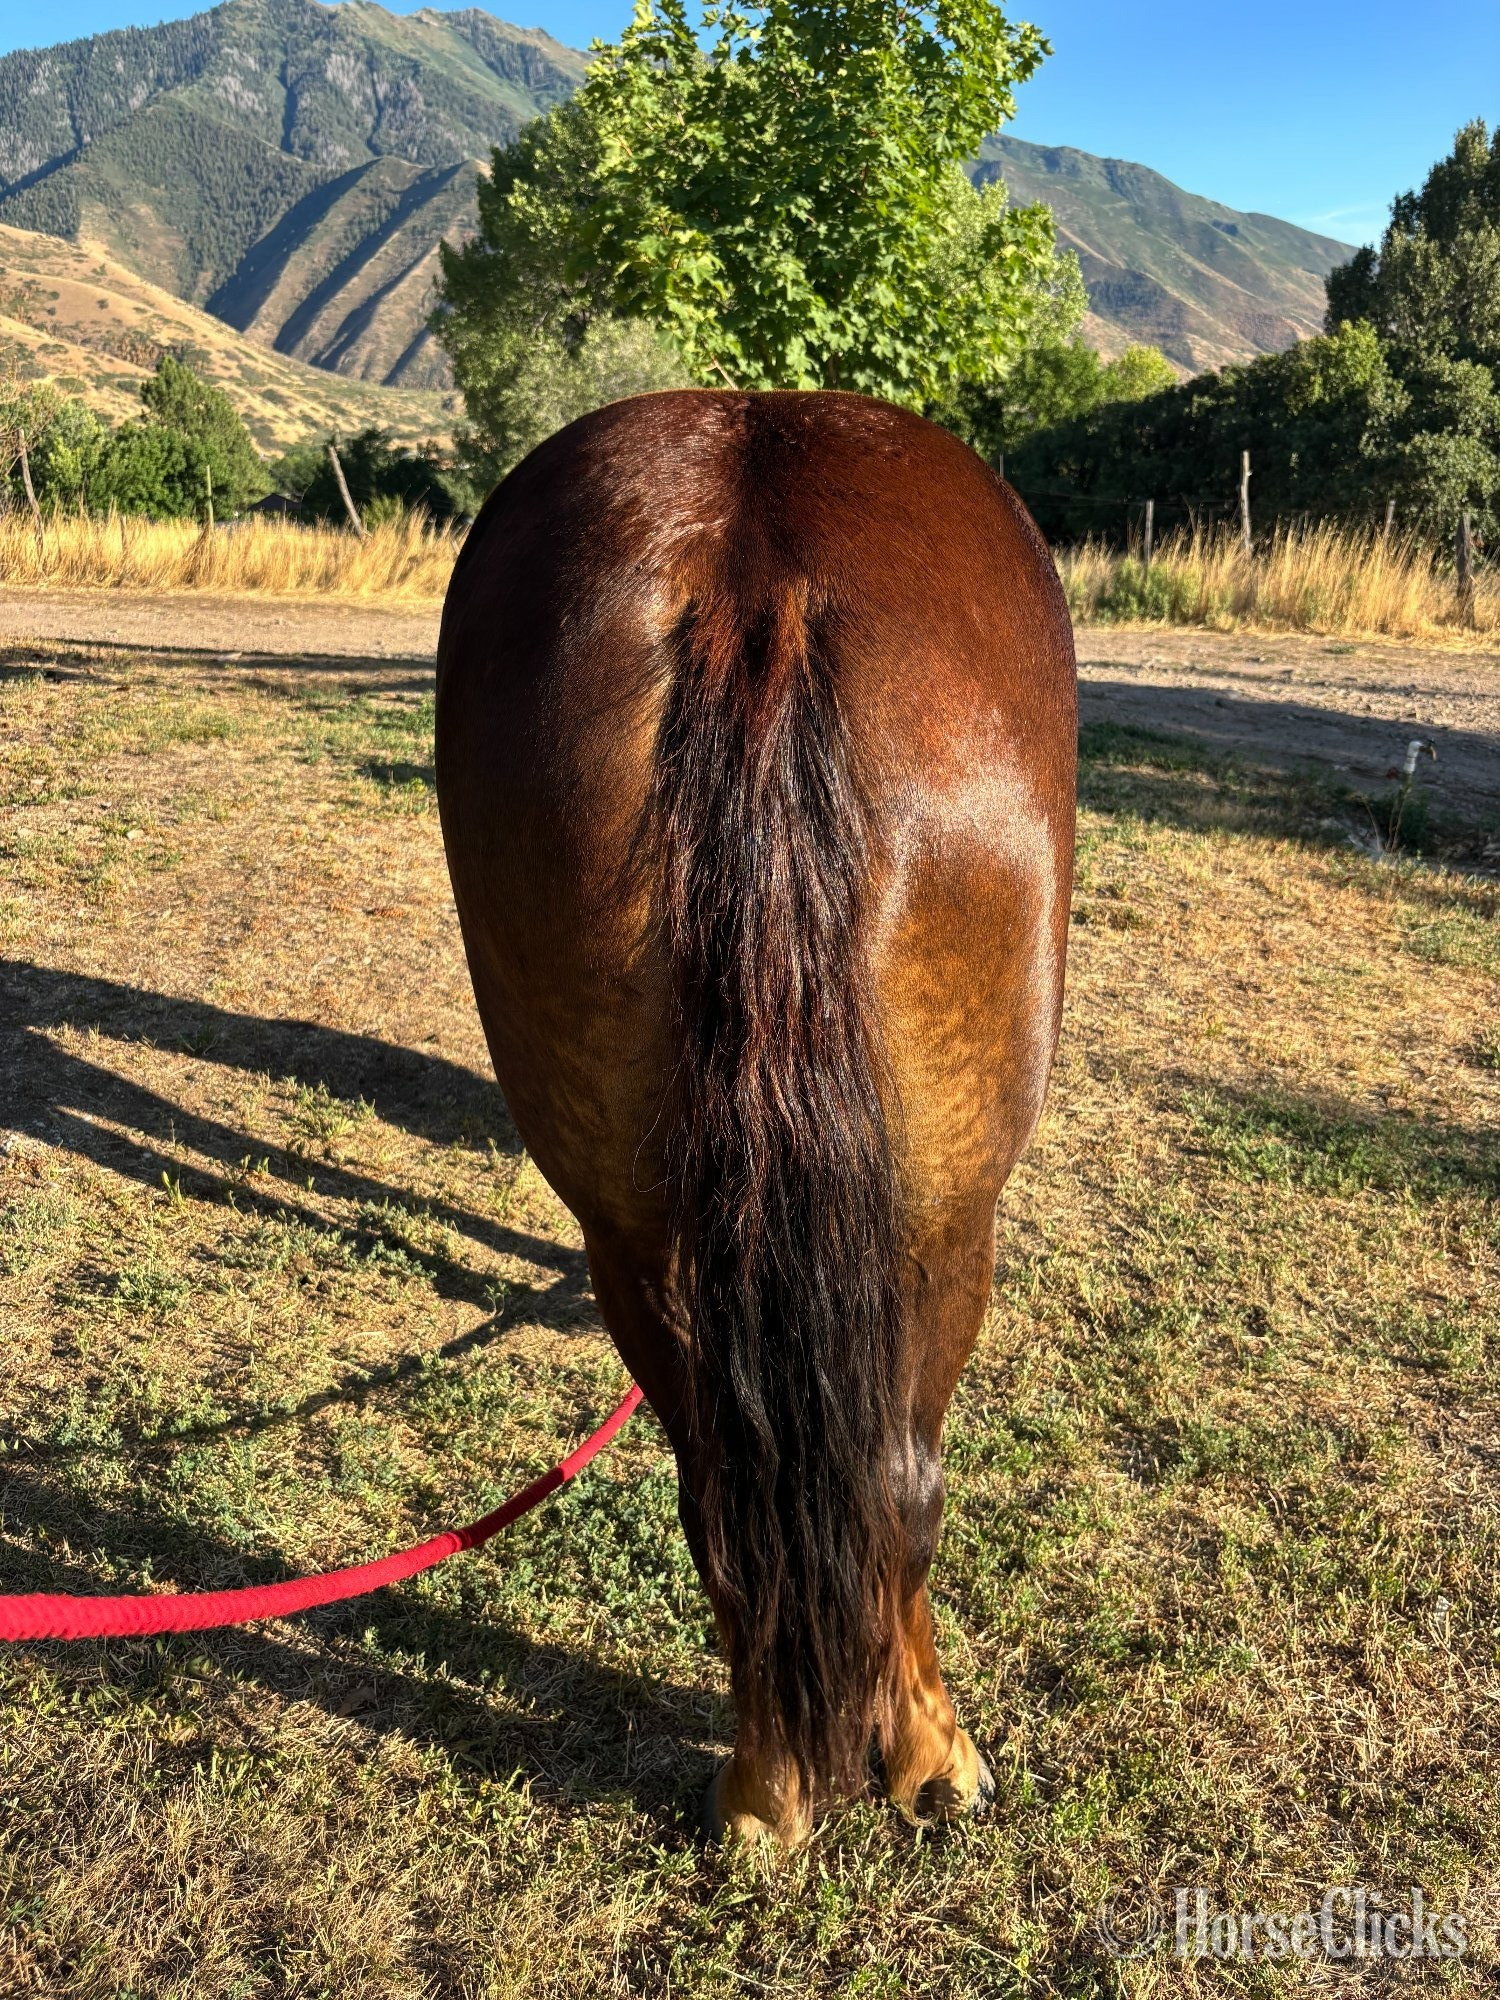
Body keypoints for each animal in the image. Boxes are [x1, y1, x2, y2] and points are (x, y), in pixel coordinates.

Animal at [434, 389, 1075, 1846]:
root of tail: (754, 577)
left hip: (634, 1230)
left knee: (725, 1495)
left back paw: (764, 1792)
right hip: (947, 1222)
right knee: (897, 1479)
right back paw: (928, 1757)